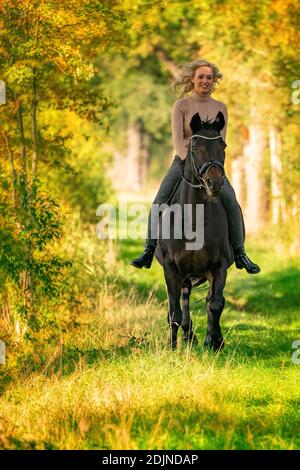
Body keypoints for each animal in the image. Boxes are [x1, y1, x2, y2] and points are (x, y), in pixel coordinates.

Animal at [155, 112, 244, 350]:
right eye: (195, 147)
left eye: (223, 145)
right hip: (183, 274)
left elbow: (215, 304)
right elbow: (174, 311)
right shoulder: (171, 267)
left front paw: (213, 343)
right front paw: (172, 348)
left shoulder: (219, 266)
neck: (193, 221)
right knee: (182, 302)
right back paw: (187, 336)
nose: (214, 183)